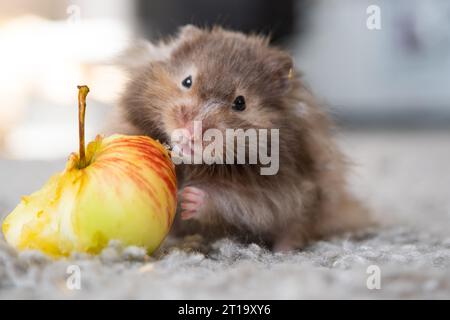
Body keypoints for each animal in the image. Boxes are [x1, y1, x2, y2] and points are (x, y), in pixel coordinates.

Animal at [110, 25, 370, 250]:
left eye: (240, 103)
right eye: (187, 81)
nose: (192, 132)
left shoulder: (276, 192)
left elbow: (234, 200)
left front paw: (189, 198)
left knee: (296, 229)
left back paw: (284, 250)